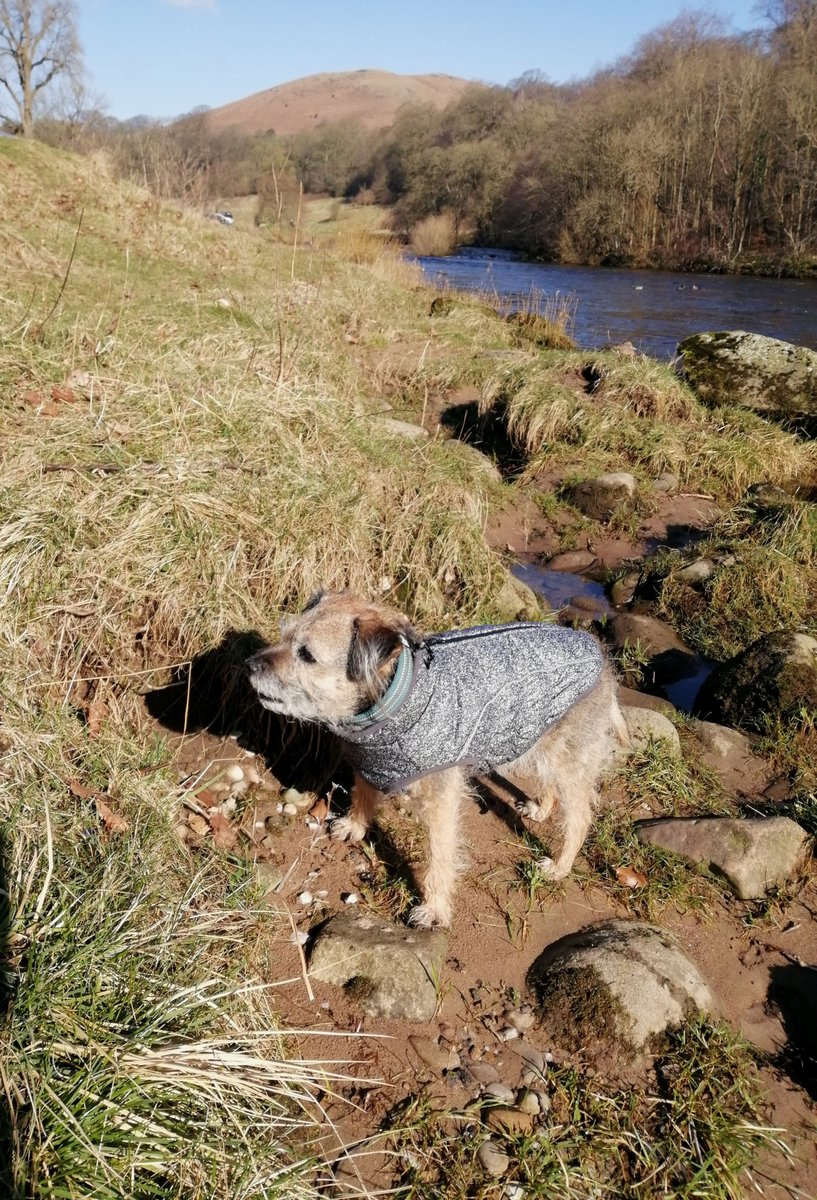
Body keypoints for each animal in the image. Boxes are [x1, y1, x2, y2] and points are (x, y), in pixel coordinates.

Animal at [245, 590, 628, 926]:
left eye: (306, 654)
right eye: (284, 634)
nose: (249, 664)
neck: (394, 699)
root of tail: (601, 656)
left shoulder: (441, 799)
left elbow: (440, 855)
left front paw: (434, 908)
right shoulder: (372, 759)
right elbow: (363, 791)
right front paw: (356, 825)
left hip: (569, 755)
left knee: (579, 816)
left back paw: (560, 866)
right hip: (533, 734)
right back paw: (542, 808)